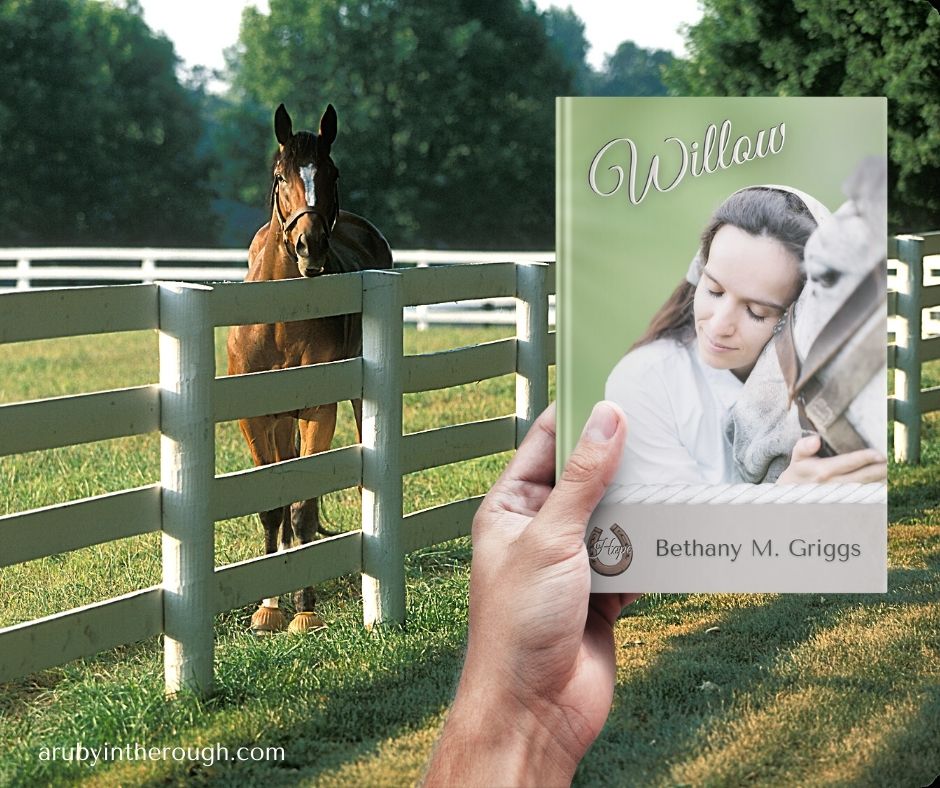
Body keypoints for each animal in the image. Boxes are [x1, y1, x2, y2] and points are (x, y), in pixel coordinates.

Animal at [229, 103, 394, 636]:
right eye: (280, 175)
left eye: (332, 173)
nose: (310, 247)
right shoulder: (255, 418)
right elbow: (273, 507)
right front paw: (268, 607)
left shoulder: (318, 412)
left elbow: (302, 510)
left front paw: (304, 610)